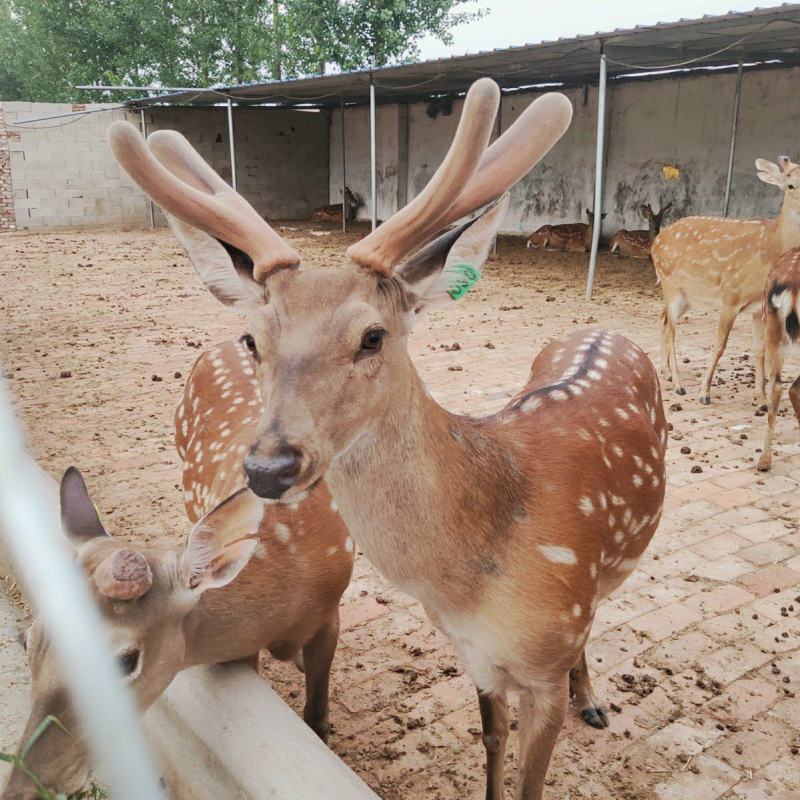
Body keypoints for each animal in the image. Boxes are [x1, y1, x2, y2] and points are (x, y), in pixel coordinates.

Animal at [2, 338, 354, 800]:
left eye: (123, 661)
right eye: (29, 639)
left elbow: (316, 717)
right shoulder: (244, 648)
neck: (291, 574)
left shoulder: (331, 613)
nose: (21, 787)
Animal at [108, 76, 668, 800]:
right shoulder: (474, 657)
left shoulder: (543, 660)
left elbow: (531, 778)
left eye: (372, 336)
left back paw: (593, 699)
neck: (478, 585)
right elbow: (491, 746)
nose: (268, 467)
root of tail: (605, 327)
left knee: (597, 614)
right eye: (253, 339)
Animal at [648, 155, 800, 406]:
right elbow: (720, 345)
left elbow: (759, 351)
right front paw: (704, 393)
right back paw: (679, 385)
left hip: (688, 296)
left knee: (662, 319)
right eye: (791, 185)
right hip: (670, 284)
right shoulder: (731, 295)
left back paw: (666, 372)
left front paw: (761, 398)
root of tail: (655, 242)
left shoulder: (758, 308)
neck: (772, 247)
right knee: (671, 329)